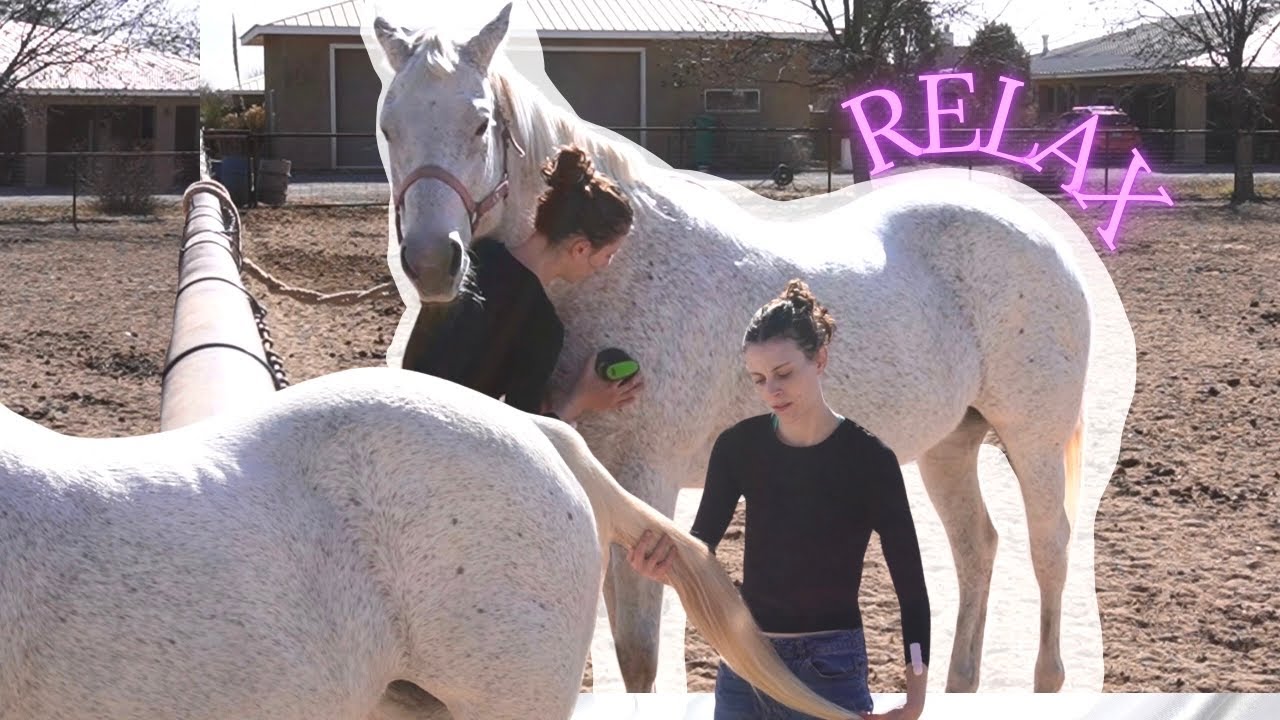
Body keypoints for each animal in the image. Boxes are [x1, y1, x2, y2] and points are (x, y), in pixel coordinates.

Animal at [371, 3, 1095, 695]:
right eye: (388, 126)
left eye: (480, 124)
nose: (432, 262)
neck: (620, 274)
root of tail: (1044, 238)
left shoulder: (648, 478)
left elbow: (638, 654)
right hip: (950, 442)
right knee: (977, 548)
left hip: (1031, 438)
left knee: (1049, 547)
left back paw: (1051, 679)